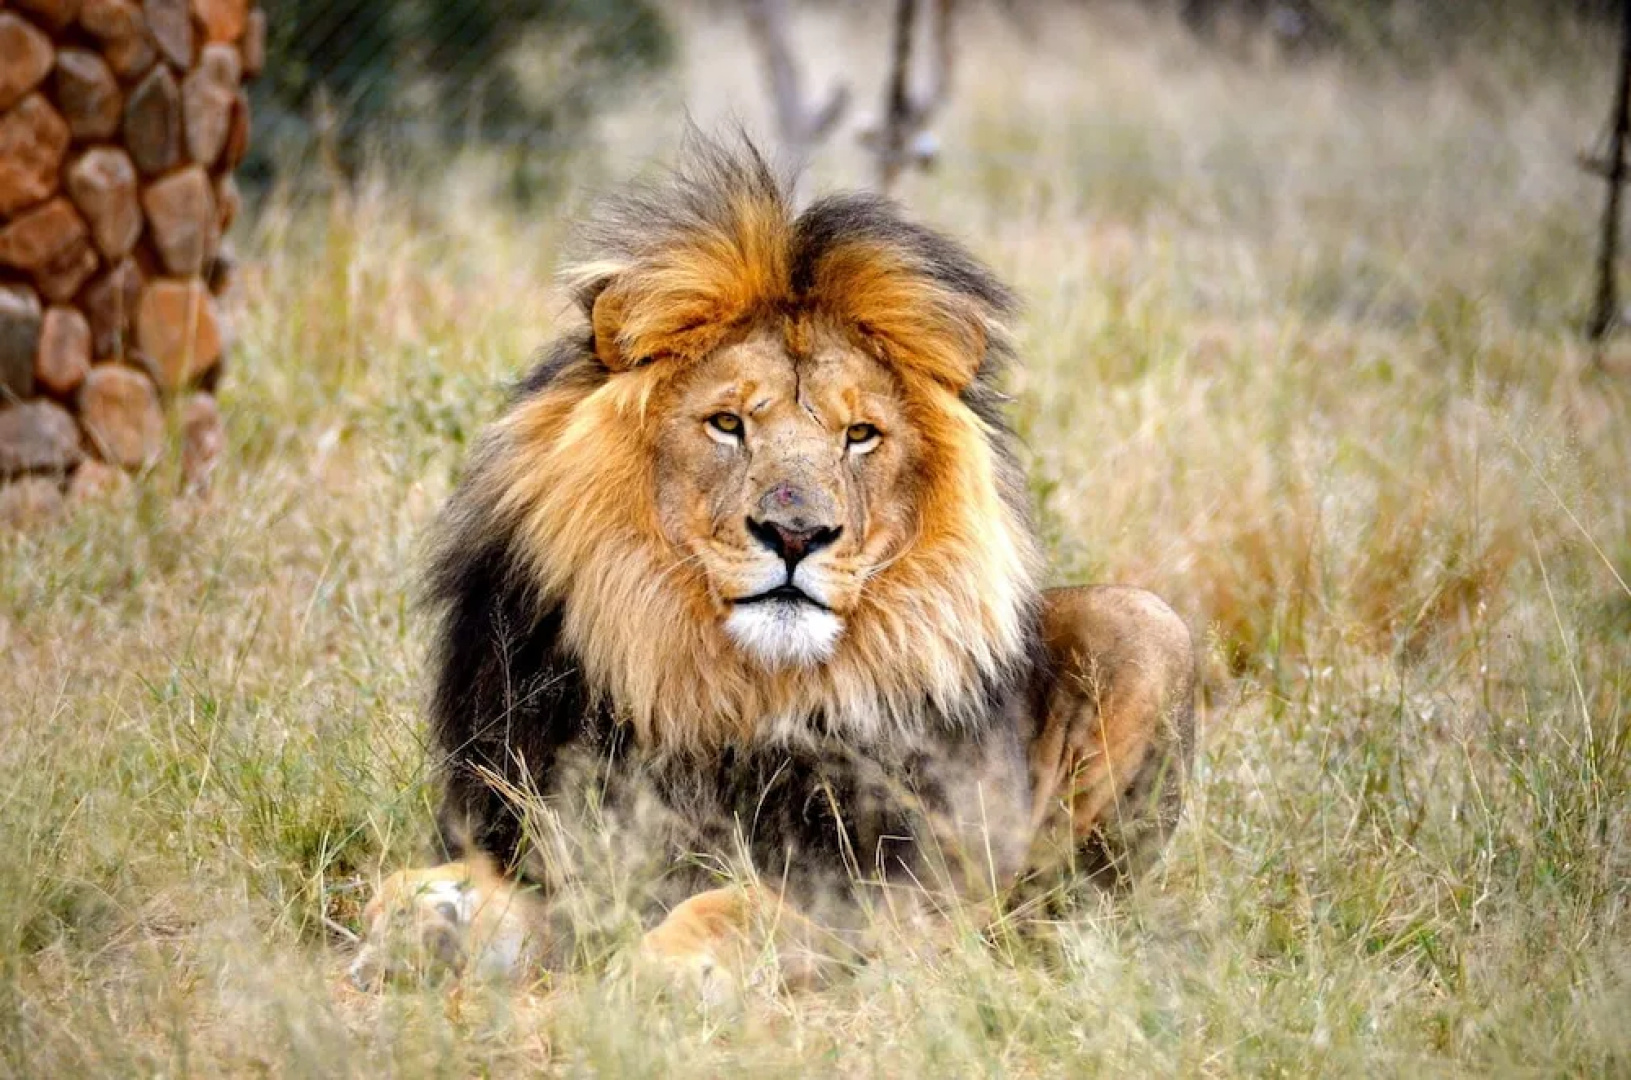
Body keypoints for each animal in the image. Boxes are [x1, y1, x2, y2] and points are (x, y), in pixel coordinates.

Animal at [349, 138, 1196, 994]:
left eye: (859, 435)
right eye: (727, 424)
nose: (796, 533)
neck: (725, 695)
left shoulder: (893, 897)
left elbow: (740, 903)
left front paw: (660, 968)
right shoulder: (528, 832)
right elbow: (423, 883)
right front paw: (424, 923)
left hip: (1145, 626)